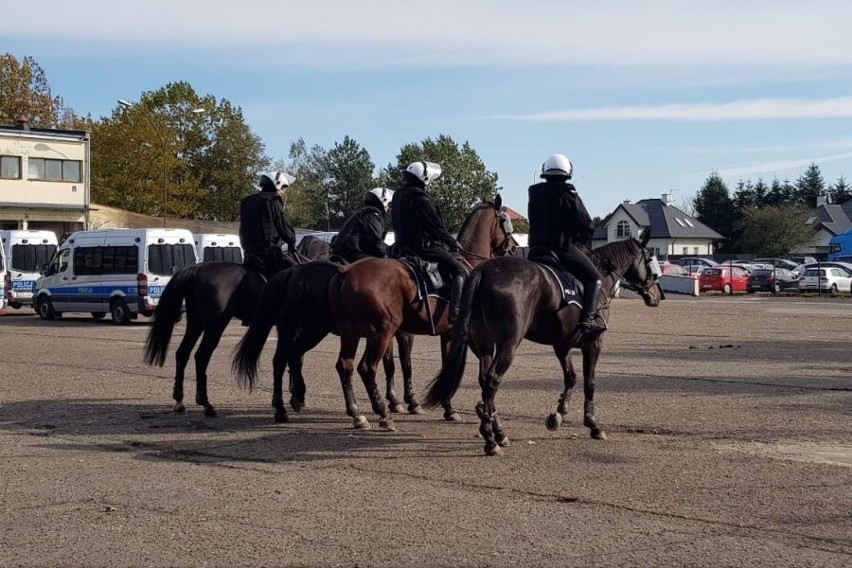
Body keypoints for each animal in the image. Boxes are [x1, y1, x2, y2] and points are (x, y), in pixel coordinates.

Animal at [141, 235, 328, 418]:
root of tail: (197, 268)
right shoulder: (295, 327)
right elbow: (295, 356)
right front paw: (296, 396)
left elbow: (294, 356)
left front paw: (294, 395)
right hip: (215, 325)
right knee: (201, 356)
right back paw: (206, 404)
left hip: (196, 323)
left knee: (182, 353)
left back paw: (179, 401)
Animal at [326, 196, 516, 430]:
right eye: (505, 220)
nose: (513, 247)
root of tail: (346, 271)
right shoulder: (471, 335)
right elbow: (476, 373)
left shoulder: (446, 334)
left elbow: (441, 366)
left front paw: (447, 407)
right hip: (381, 332)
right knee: (367, 367)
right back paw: (382, 413)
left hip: (352, 332)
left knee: (346, 365)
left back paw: (357, 413)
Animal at [426, 232, 664, 458]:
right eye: (649, 259)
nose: (658, 295)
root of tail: (483, 271)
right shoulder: (594, 343)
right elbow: (590, 383)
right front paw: (593, 425)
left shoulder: (562, 345)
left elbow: (571, 377)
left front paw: (558, 414)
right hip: (508, 344)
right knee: (492, 380)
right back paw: (491, 440)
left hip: (484, 343)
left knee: (485, 380)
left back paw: (498, 432)